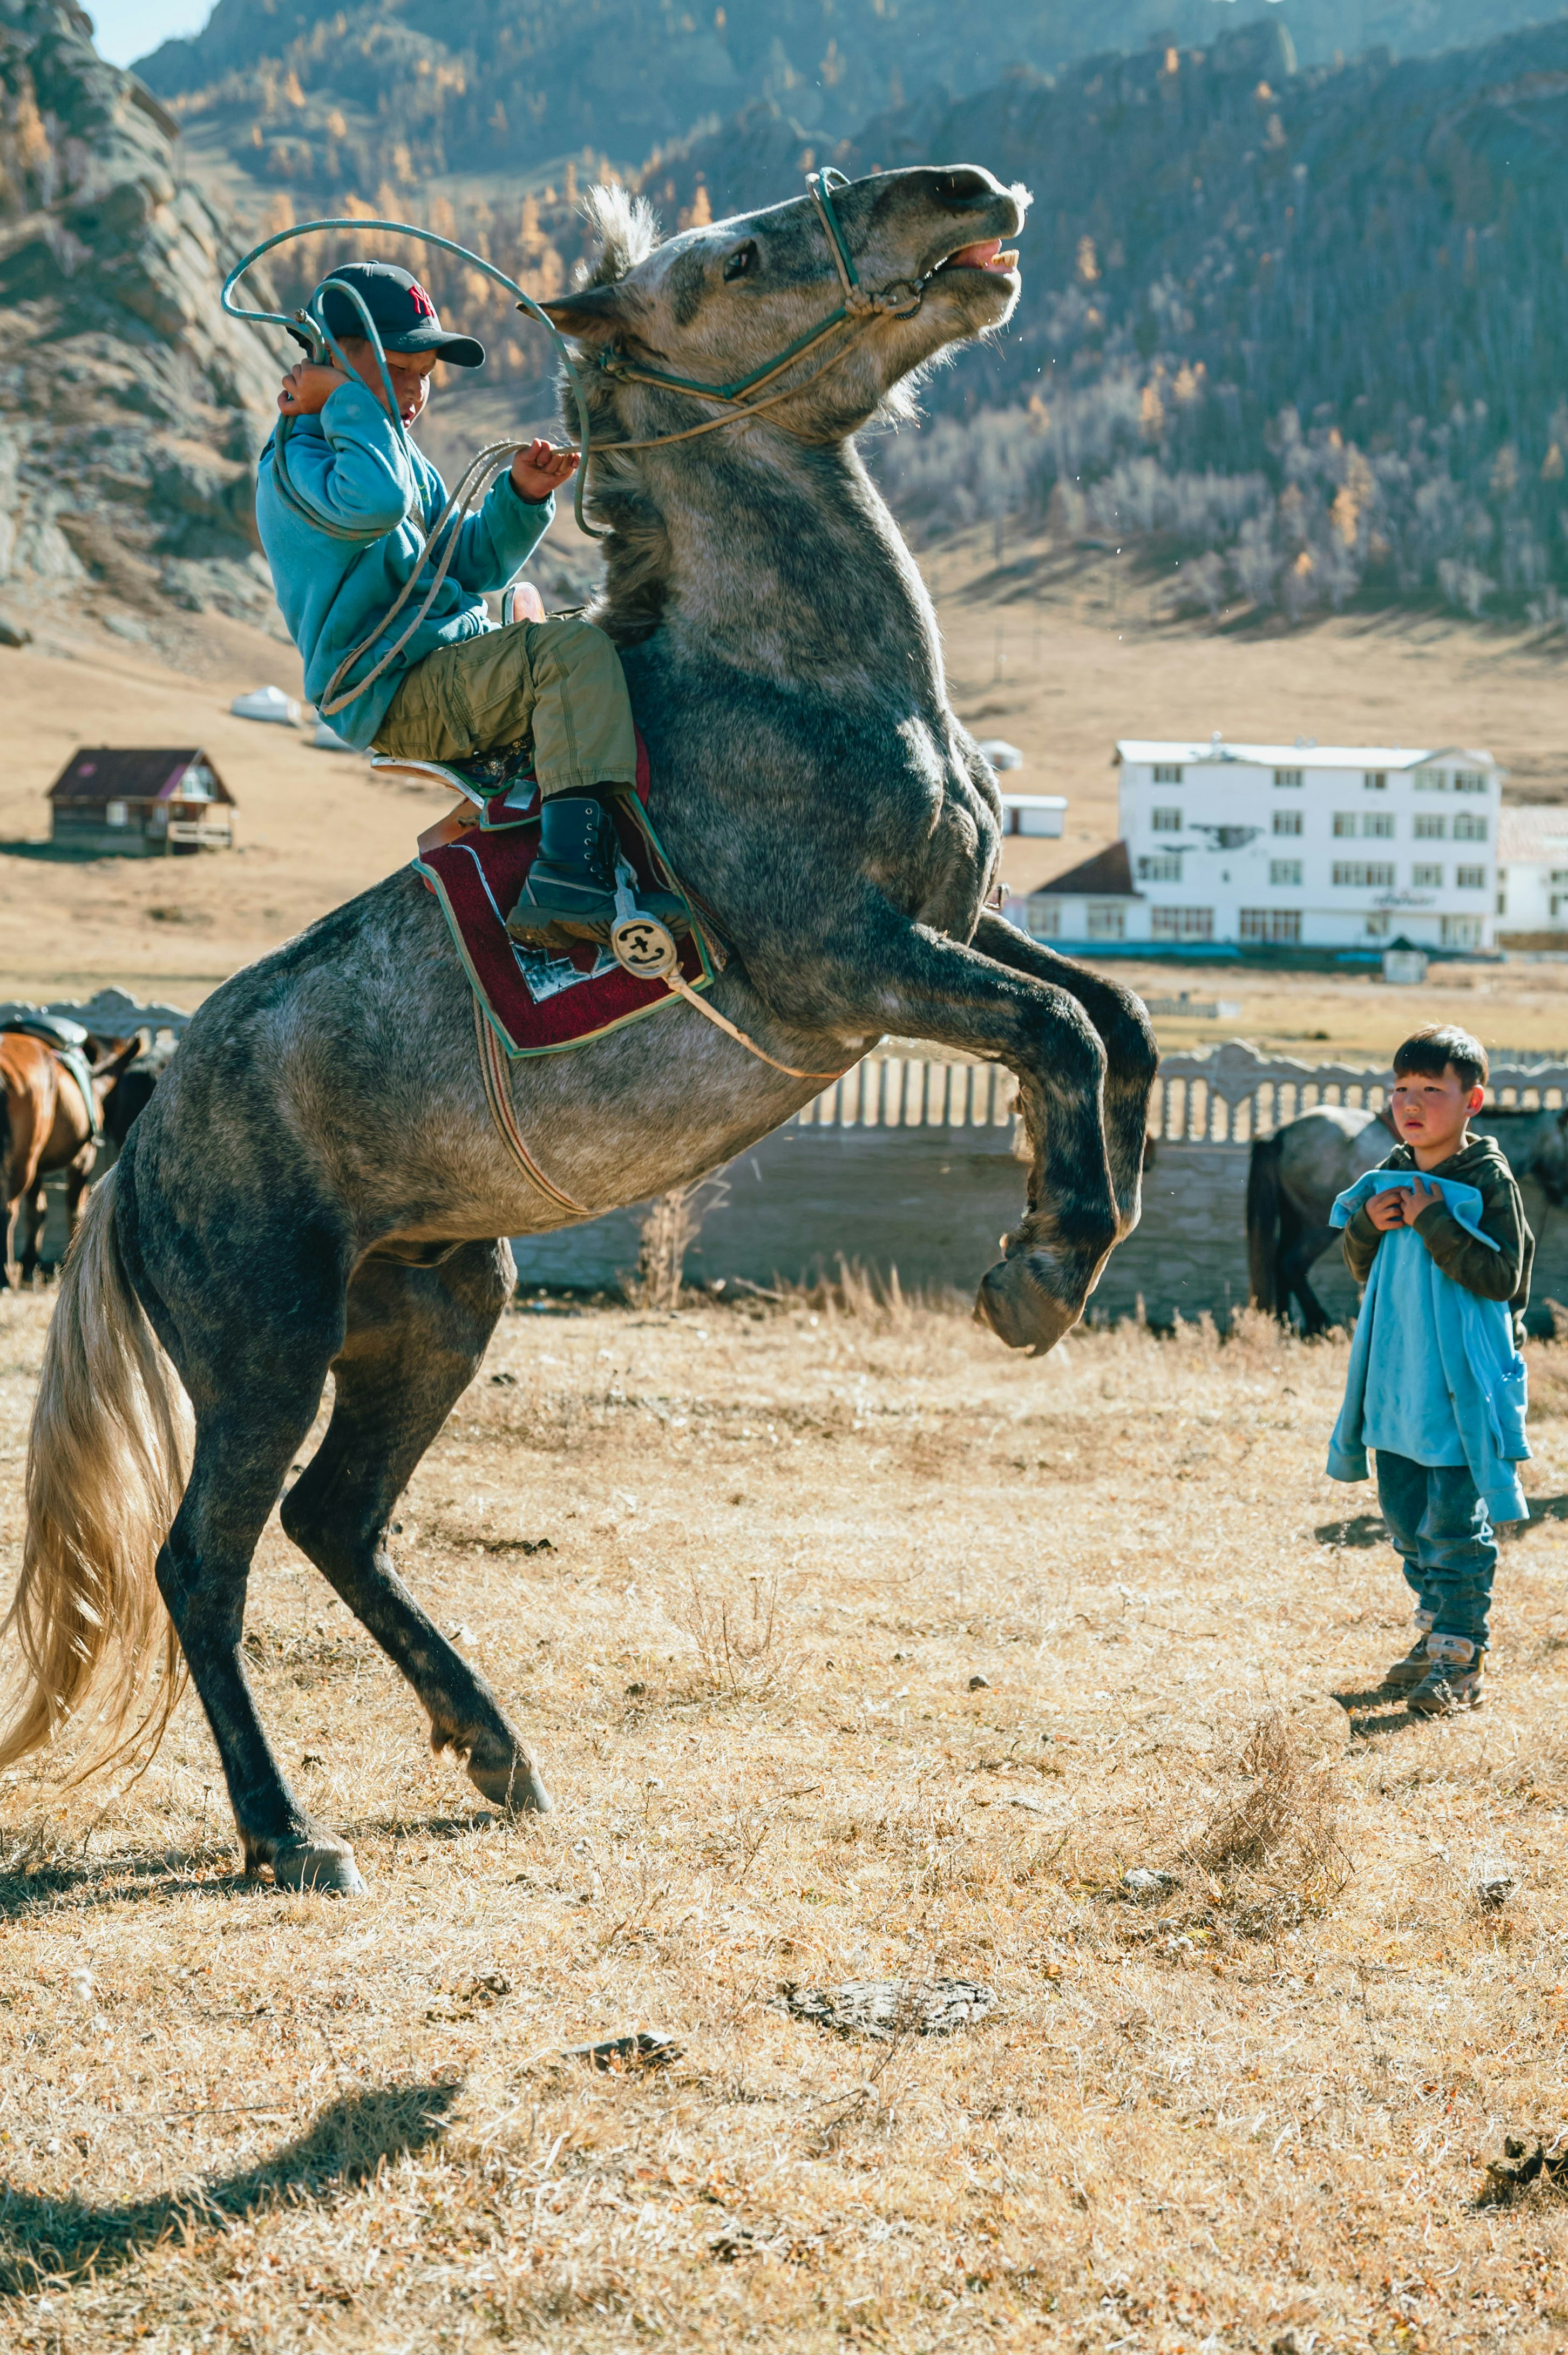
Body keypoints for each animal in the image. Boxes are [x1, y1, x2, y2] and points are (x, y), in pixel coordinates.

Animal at [0, 1031, 140, 1287]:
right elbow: (75, 1209)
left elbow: (37, 1211)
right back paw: (6, 1273)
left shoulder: (39, 1167)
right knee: (8, 1209)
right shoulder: (83, 1159)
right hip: (23, 1164)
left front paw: (30, 1263)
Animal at [1247, 1101, 1568, 1332]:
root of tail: (1280, 1133)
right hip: (1315, 1226)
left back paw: (1284, 1325)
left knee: (1279, 1263)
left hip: (1294, 1219)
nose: (1562, 1199)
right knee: (1292, 1264)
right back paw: (1318, 1325)